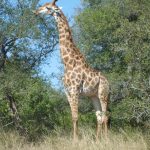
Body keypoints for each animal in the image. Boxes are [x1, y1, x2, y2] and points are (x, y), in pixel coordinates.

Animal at [34, 0, 109, 141]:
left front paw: (75, 141)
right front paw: (74, 139)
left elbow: (75, 117)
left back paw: (107, 140)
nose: (36, 11)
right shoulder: (67, 92)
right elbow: (72, 117)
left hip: (103, 93)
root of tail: (108, 81)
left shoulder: (74, 90)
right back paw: (98, 141)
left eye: (48, 7)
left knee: (106, 115)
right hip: (93, 95)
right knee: (99, 116)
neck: (67, 63)